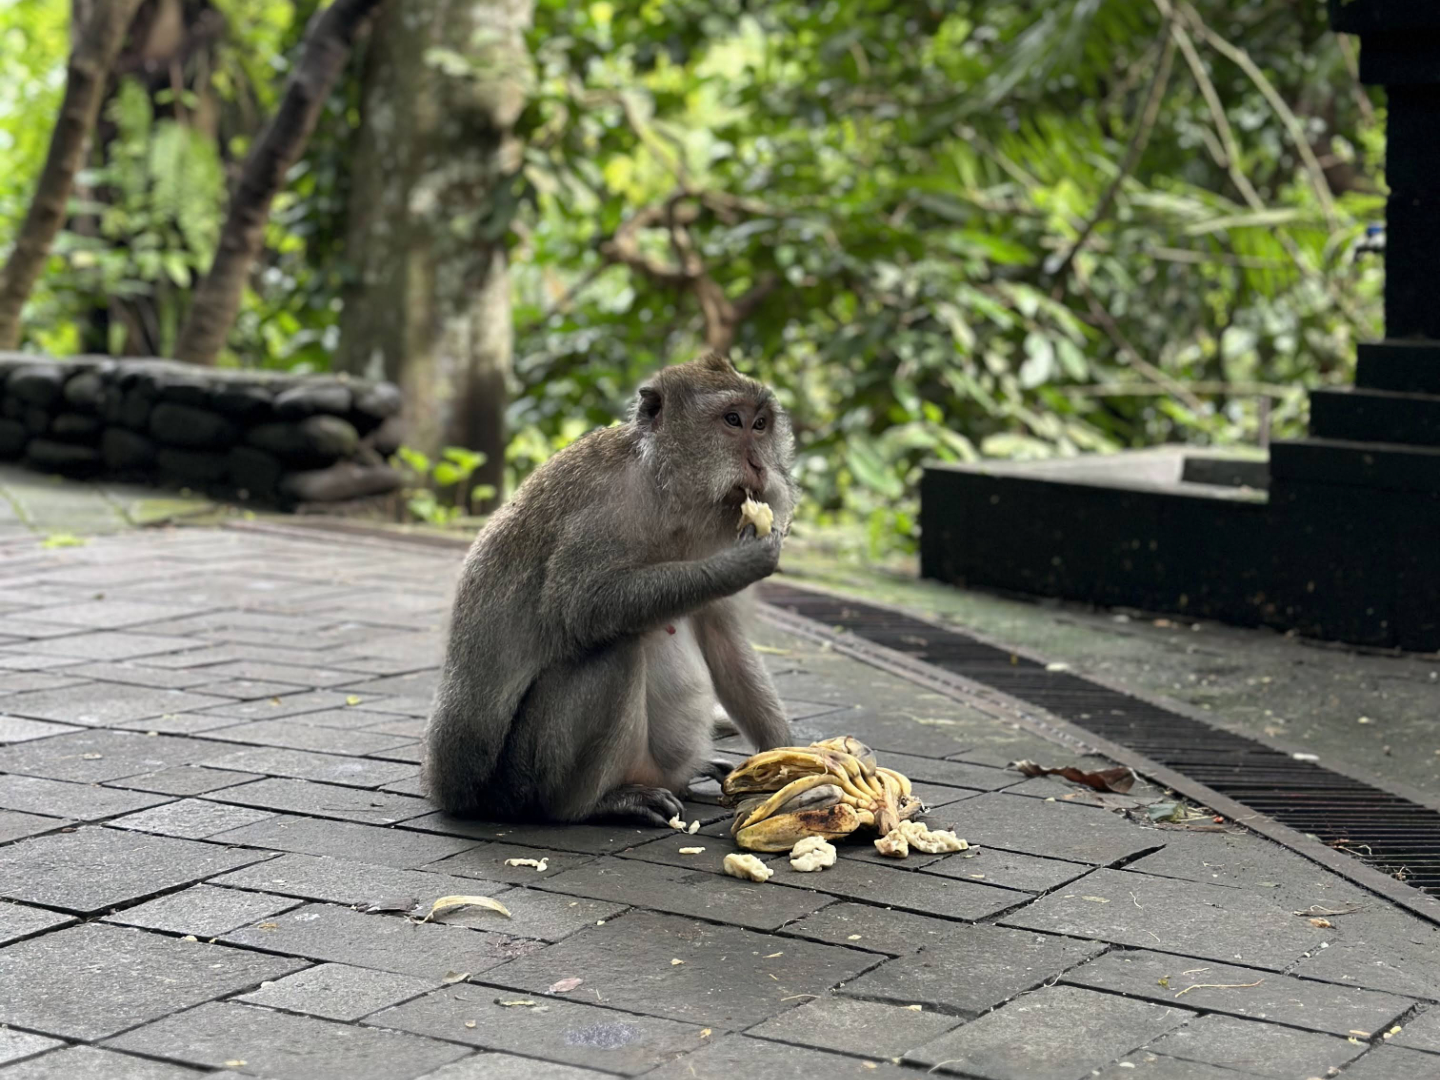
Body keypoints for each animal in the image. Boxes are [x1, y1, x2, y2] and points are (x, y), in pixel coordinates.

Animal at [422, 352, 798, 827]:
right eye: (733, 420)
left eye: (761, 424)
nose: (759, 466)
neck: (665, 490)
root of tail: (450, 790)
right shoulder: (605, 506)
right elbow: (581, 606)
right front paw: (741, 563)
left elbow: (723, 640)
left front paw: (794, 757)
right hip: (517, 783)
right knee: (613, 650)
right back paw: (595, 804)